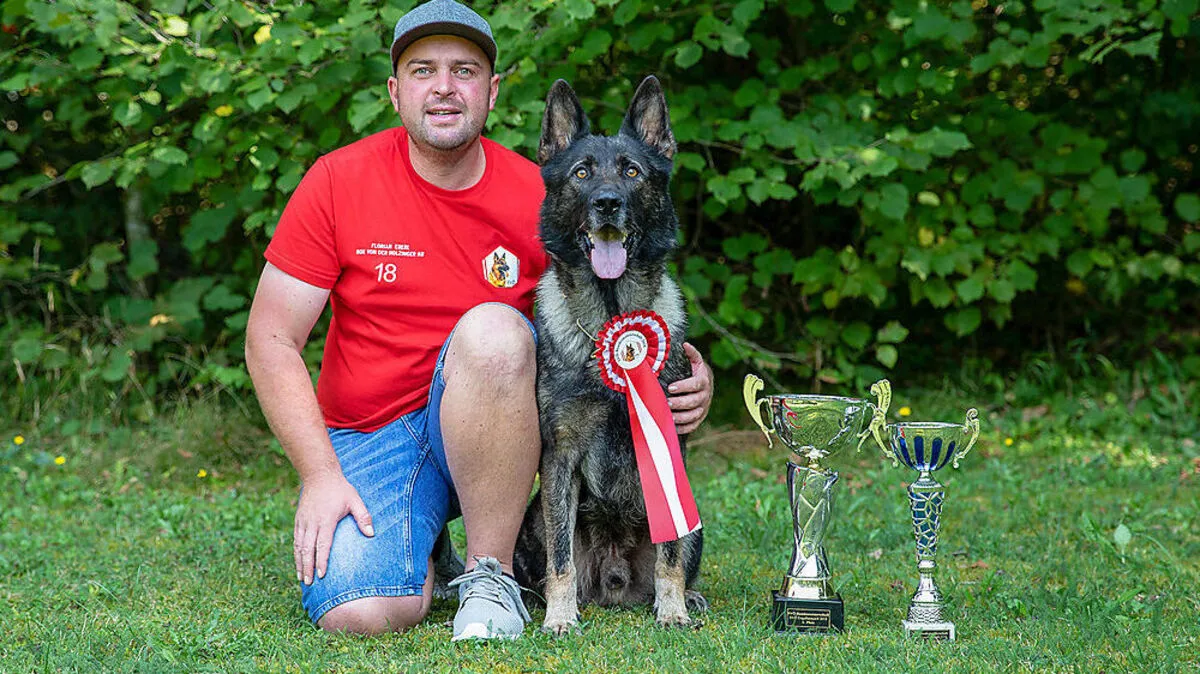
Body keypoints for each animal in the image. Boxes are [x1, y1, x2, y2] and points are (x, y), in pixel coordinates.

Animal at [512, 76, 706, 636]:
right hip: (531, 521)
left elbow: (669, 556)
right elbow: (560, 559)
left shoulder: (671, 455)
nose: (607, 203)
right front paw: (560, 617)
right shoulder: (560, 457)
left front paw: (672, 608)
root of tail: (615, 582)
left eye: (631, 172)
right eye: (581, 172)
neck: (608, 321)